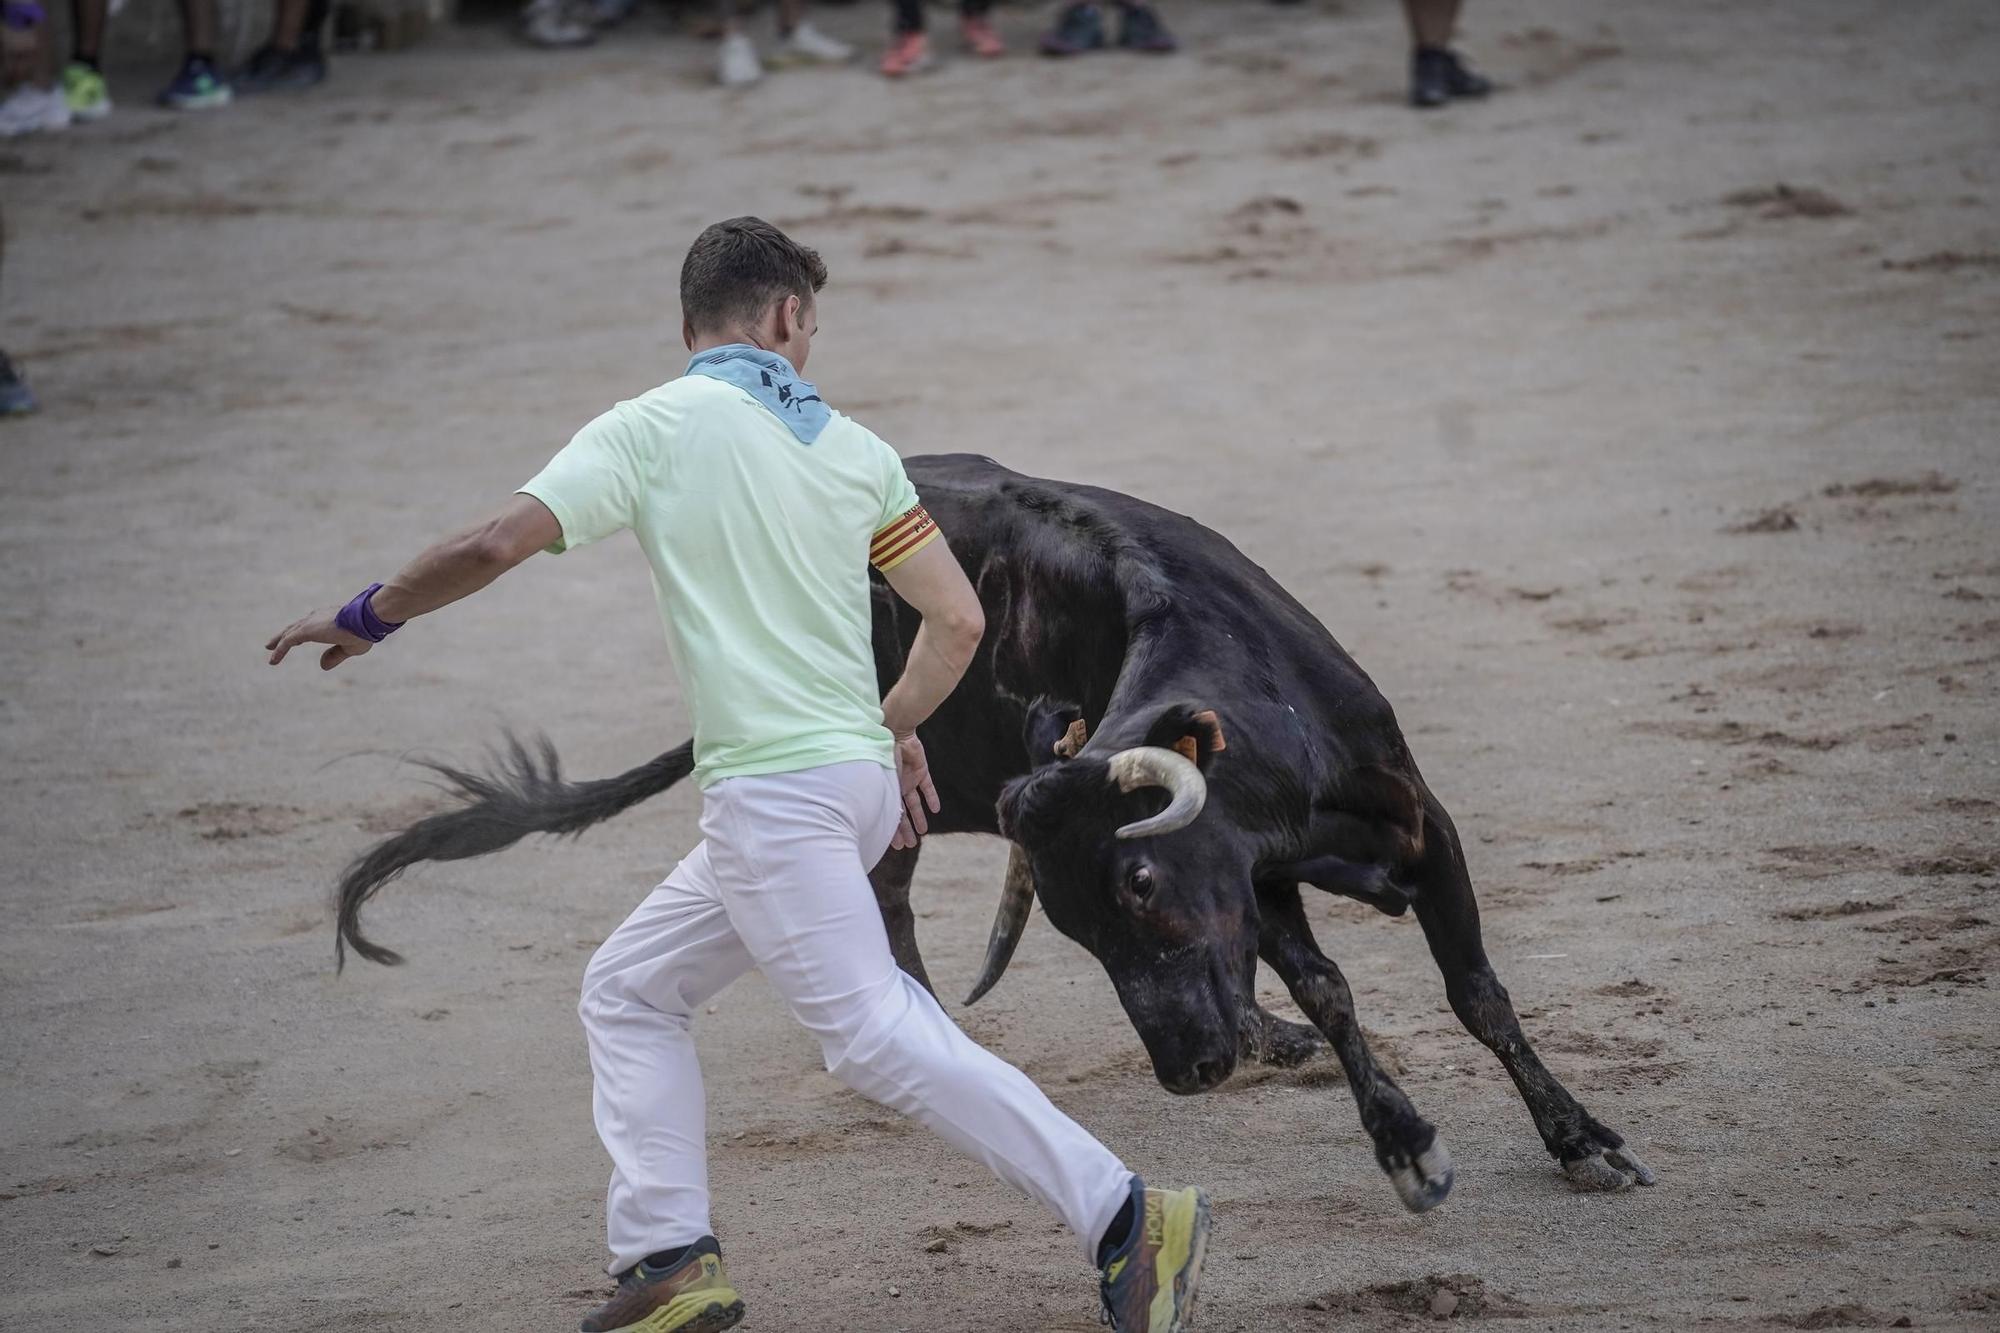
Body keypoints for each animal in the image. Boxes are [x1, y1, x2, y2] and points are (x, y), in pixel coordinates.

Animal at [340, 452, 1656, 1208]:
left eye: (1136, 885)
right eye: (1074, 931)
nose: (1186, 1069)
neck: (1273, 737)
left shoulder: (1404, 827)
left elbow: (1469, 993)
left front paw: (1581, 1140)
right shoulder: (1265, 881)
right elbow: (1335, 989)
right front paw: (1407, 1145)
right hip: (887, 796)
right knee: (887, 905)